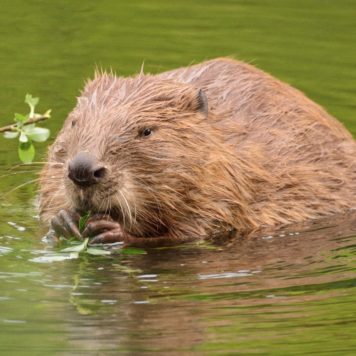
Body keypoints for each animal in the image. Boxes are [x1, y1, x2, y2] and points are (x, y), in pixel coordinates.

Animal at [38, 59, 356, 248]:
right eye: (75, 122)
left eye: (146, 131)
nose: (82, 170)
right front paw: (63, 221)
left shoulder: (225, 188)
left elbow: (192, 232)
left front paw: (113, 230)